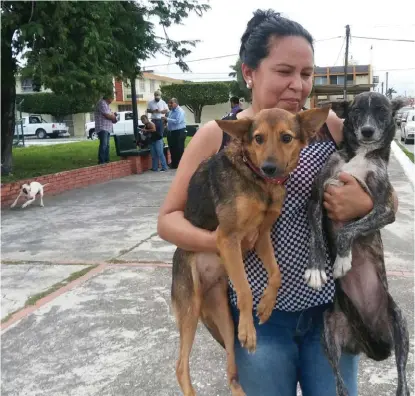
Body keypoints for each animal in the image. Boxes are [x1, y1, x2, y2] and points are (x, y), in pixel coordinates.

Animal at [171, 106, 330, 396]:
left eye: (286, 137)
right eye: (258, 138)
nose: (269, 167)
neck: (257, 177)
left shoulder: (261, 237)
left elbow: (276, 274)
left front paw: (266, 306)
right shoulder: (227, 238)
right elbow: (245, 290)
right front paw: (249, 329)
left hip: (222, 316)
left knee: (231, 367)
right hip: (190, 308)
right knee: (180, 366)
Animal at [306, 93, 410, 396]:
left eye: (383, 111)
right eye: (356, 111)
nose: (367, 131)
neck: (360, 155)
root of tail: (370, 341)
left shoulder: (385, 209)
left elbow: (349, 230)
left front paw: (342, 260)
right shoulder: (316, 199)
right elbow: (316, 237)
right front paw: (317, 269)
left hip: (400, 322)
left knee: (402, 378)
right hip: (329, 334)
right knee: (339, 384)